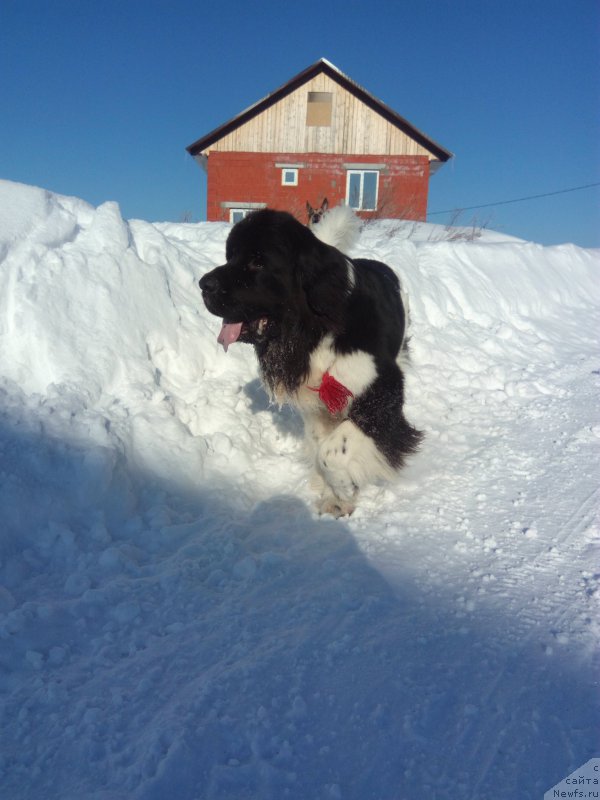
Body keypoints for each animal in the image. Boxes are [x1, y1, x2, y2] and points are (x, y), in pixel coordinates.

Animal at [198, 209, 422, 516]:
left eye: (258, 261)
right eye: (230, 256)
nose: (203, 285)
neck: (316, 329)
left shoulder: (381, 389)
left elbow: (332, 451)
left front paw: (343, 487)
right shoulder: (318, 403)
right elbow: (320, 447)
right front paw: (336, 497)